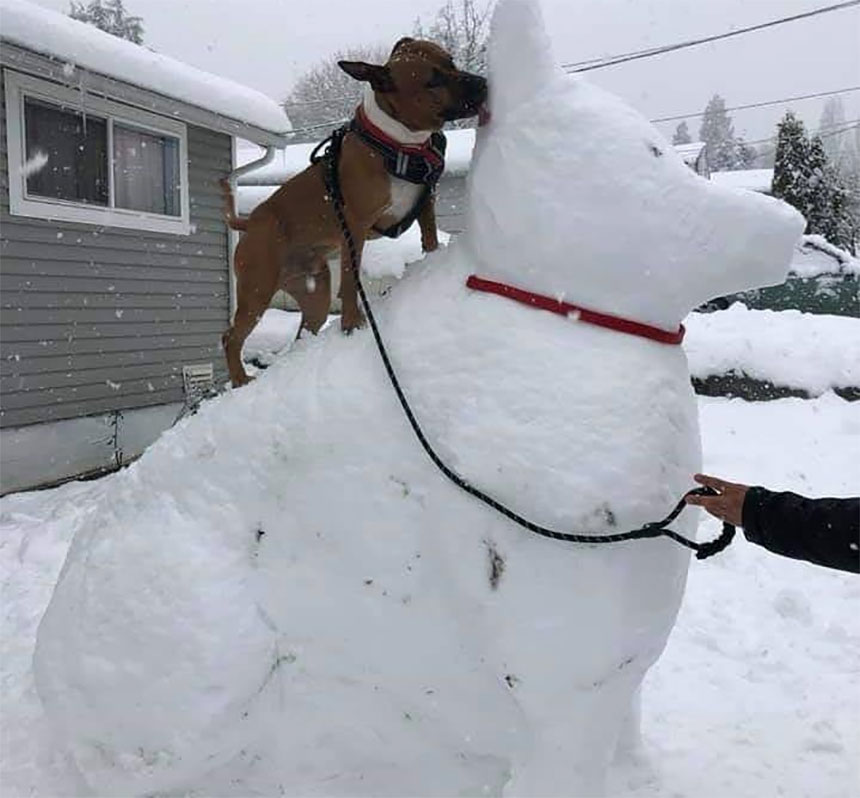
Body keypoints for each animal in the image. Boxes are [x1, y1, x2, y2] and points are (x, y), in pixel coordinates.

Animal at [222, 39, 488, 390]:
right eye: (433, 81)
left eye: (451, 61)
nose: (483, 83)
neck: (398, 143)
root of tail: (249, 221)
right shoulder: (354, 227)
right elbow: (351, 280)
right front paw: (352, 323)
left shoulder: (426, 202)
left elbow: (429, 237)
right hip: (257, 289)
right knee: (230, 337)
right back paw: (240, 380)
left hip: (315, 295)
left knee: (304, 331)